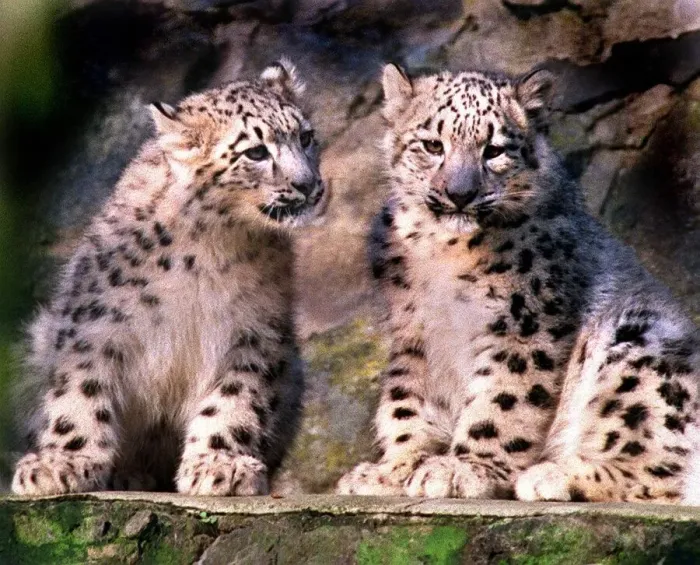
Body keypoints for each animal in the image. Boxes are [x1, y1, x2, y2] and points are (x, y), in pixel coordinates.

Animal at [11, 59, 328, 497]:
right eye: (256, 152)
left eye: (306, 137)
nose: (308, 185)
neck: (212, 246)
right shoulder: (96, 326)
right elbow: (80, 392)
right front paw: (62, 461)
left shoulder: (253, 332)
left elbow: (234, 401)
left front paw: (220, 464)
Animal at [336, 63, 700, 503]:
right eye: (432, 145)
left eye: (494, 150)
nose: (460, 194)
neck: (439, 252)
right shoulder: (412, 330)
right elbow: (405, 403)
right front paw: (393, 469)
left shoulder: (524, 323)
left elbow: (502, 400)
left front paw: (463, 468)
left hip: (640, 348)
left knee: (661, 473)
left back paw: (554, 475)